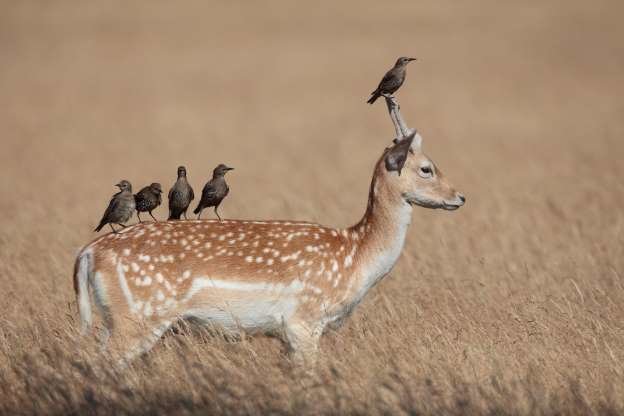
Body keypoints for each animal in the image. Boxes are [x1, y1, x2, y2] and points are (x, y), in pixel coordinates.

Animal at [73, 96, 464, 364]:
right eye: (427, 168)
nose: (459, 196)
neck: (355, 254)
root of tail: (88, 254)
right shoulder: (303, 321)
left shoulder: (287, 334)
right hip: (135, 317)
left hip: (114, 319)